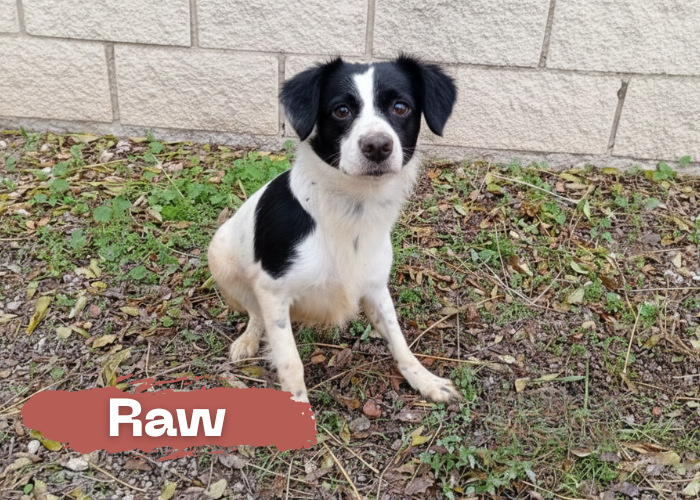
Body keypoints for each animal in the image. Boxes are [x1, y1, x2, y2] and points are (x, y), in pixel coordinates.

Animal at [208, 55, 460, 403]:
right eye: (341, 110)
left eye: (400, 107)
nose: (377, 146)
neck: (353, 207)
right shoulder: (273, 291)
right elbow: (291, 364)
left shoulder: (376, 286)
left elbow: (399, 340)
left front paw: (425, 380)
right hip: (222, 261)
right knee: (254, 313)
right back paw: (248, 339)